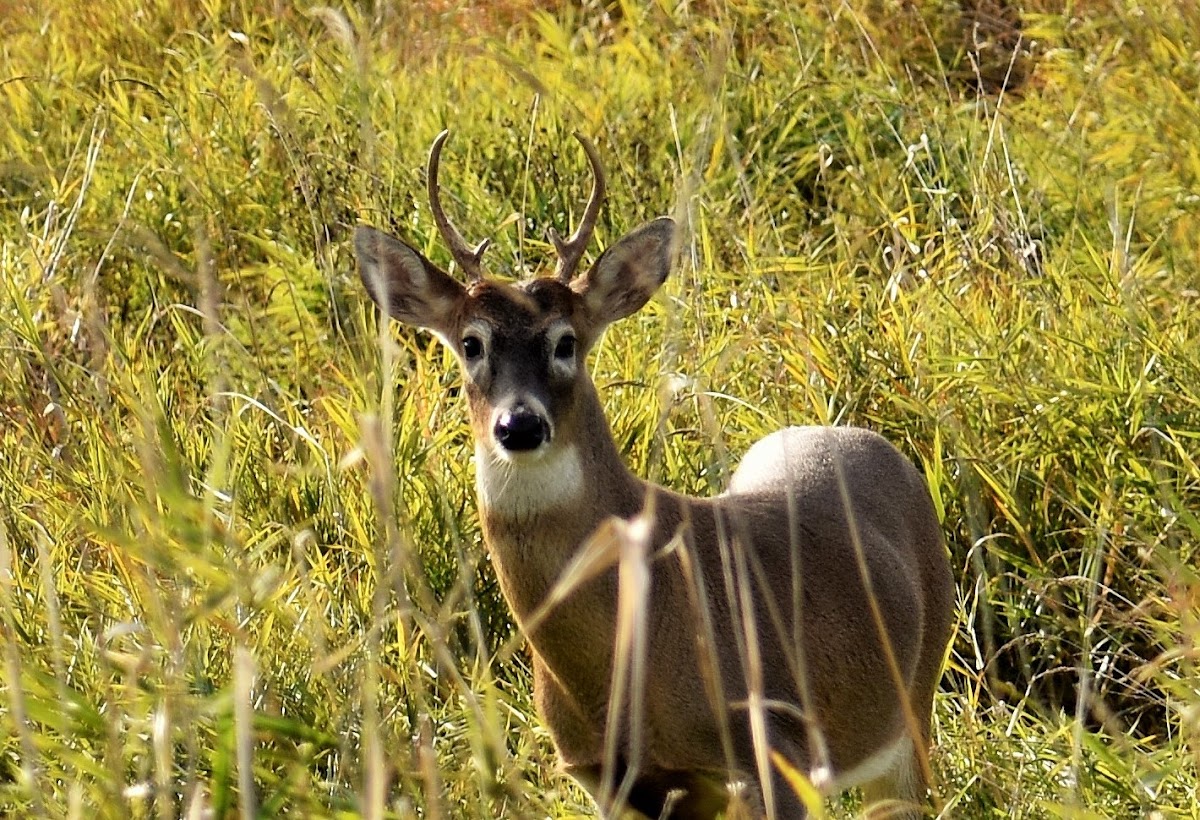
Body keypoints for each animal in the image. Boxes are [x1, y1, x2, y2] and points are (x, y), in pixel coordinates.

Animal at [352, 131, 955, 816]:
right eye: (472, 343)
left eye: (565, 342)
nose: (520, 425)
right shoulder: (607, 774)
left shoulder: (776, 743)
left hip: (913, 712)